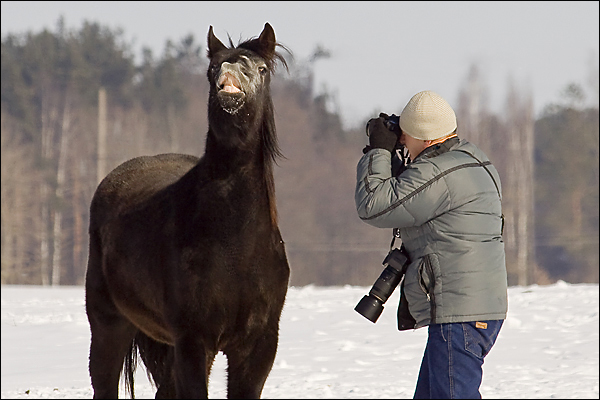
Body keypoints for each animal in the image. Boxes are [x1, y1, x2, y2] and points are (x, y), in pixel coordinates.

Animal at [85, 23, 290, 398]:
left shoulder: (258, 346)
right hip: (109, 324)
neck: (235, 245)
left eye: (261, 69)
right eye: (213, 68)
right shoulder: (194, 342)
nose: (229, 75)